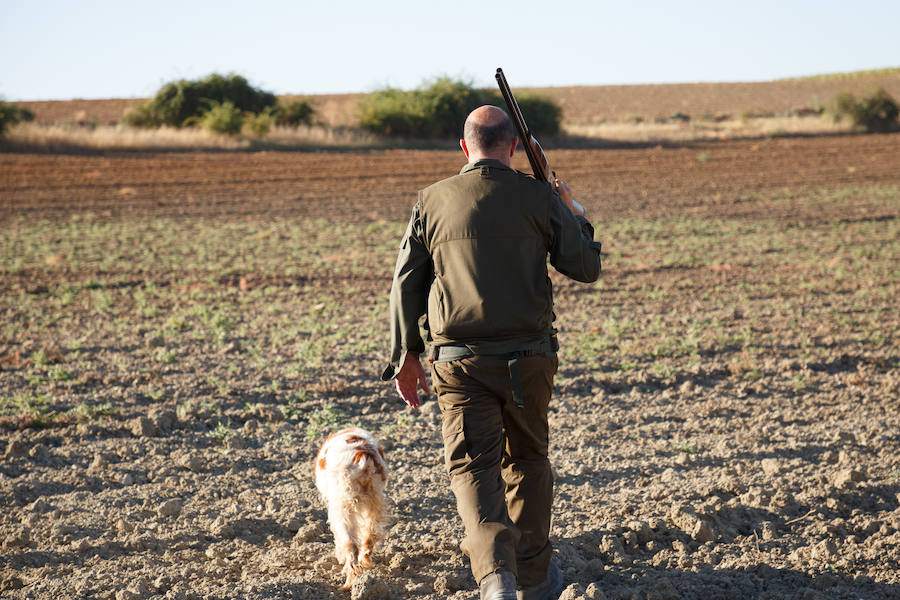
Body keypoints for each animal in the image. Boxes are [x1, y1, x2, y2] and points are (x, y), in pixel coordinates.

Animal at [314, 426, 388, 592]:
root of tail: (363, 455)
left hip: (343, 509)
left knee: (351, 547)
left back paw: (347, 585)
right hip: (375, 505)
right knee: (368, 540)